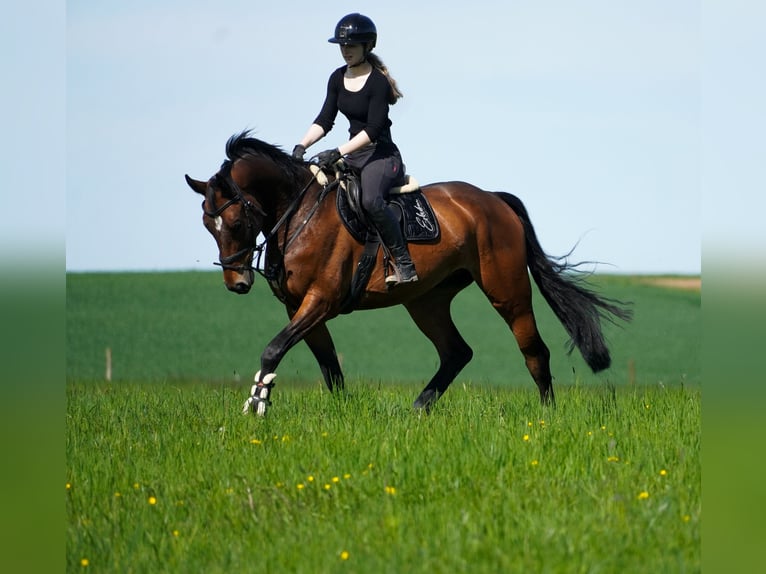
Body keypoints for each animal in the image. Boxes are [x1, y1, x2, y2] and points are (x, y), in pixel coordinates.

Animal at [185, 131, 631, 415]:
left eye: (236, 222)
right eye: (208, 226)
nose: (237, 283)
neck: (299, 215)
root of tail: (493, 199)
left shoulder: (321, 301)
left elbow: (273, 349)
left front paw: (257, 403)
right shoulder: (299, 307)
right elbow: (329, 366)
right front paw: (342, 414)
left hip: (507, 291)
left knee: (534, 350)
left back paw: (546, 415)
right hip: (427, 301)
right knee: (456, 352)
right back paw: (418, 408)